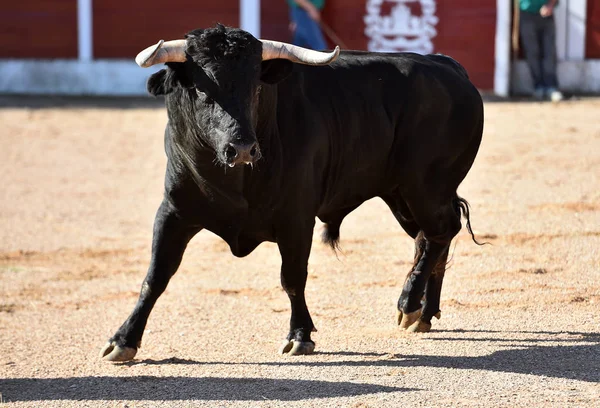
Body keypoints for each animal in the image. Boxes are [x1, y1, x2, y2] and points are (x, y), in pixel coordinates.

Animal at [98, 26, 482, 360]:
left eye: (255, 88)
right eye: (202, 90)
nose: (242, 149)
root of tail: (447, 66)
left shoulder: (296, 219)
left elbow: (293, 277)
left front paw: (300, 335)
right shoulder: (174, 212)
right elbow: (155, 277)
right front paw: (123, 340)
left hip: (426, 188)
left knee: (440, 232)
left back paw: (409, 304)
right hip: (402, 195)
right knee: (429, 238)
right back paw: (425, 312)